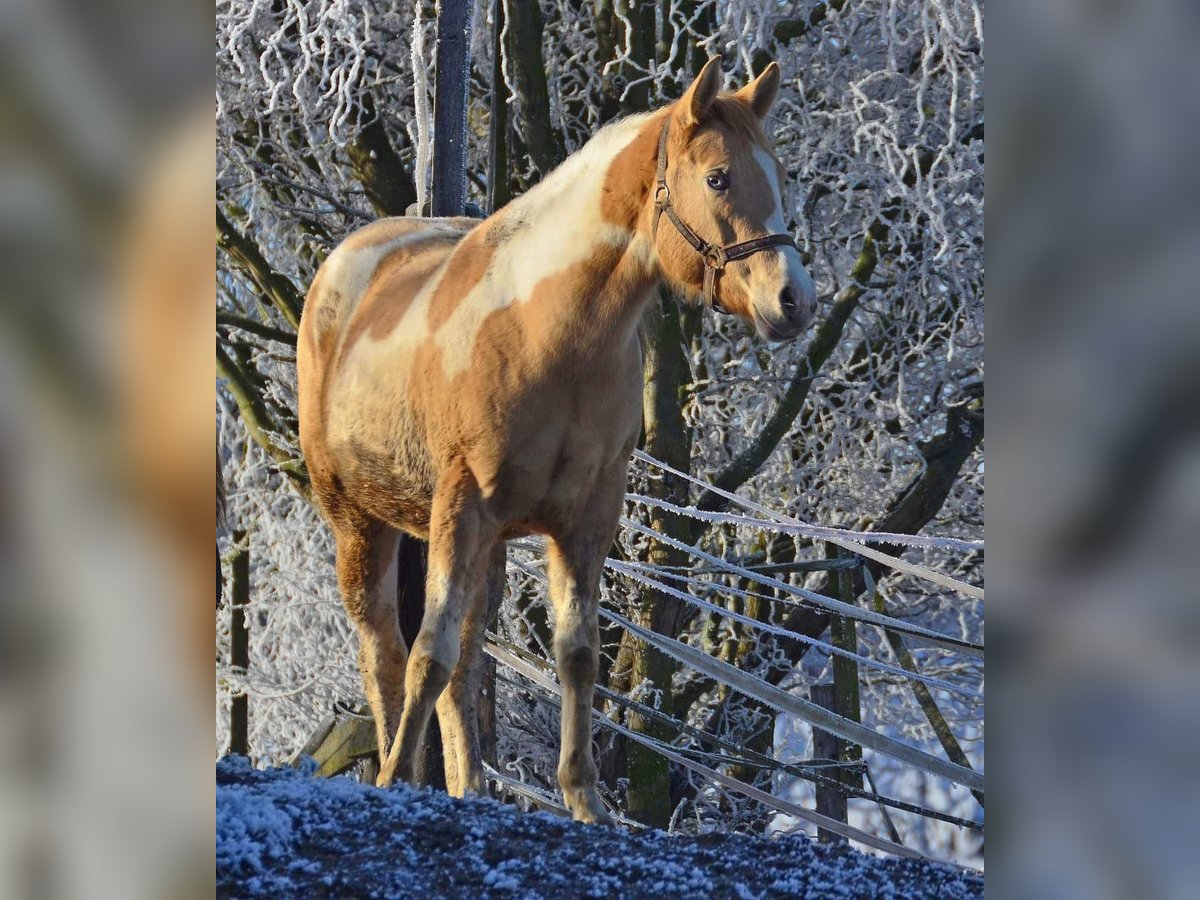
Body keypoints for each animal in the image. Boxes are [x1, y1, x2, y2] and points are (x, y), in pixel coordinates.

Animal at [295, 52, 816, 820]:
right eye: (719, 177)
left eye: (777, 174)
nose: (794, 300)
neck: (545, 332)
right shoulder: (460, 507)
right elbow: (427, 653)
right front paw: (394, 781)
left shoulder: (585, 517)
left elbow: (576, 653)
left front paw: (585, 801)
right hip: (360, 522)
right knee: (385, 649)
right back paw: (397, 768)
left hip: (480, 549)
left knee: (466, 664)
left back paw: (470, 787)